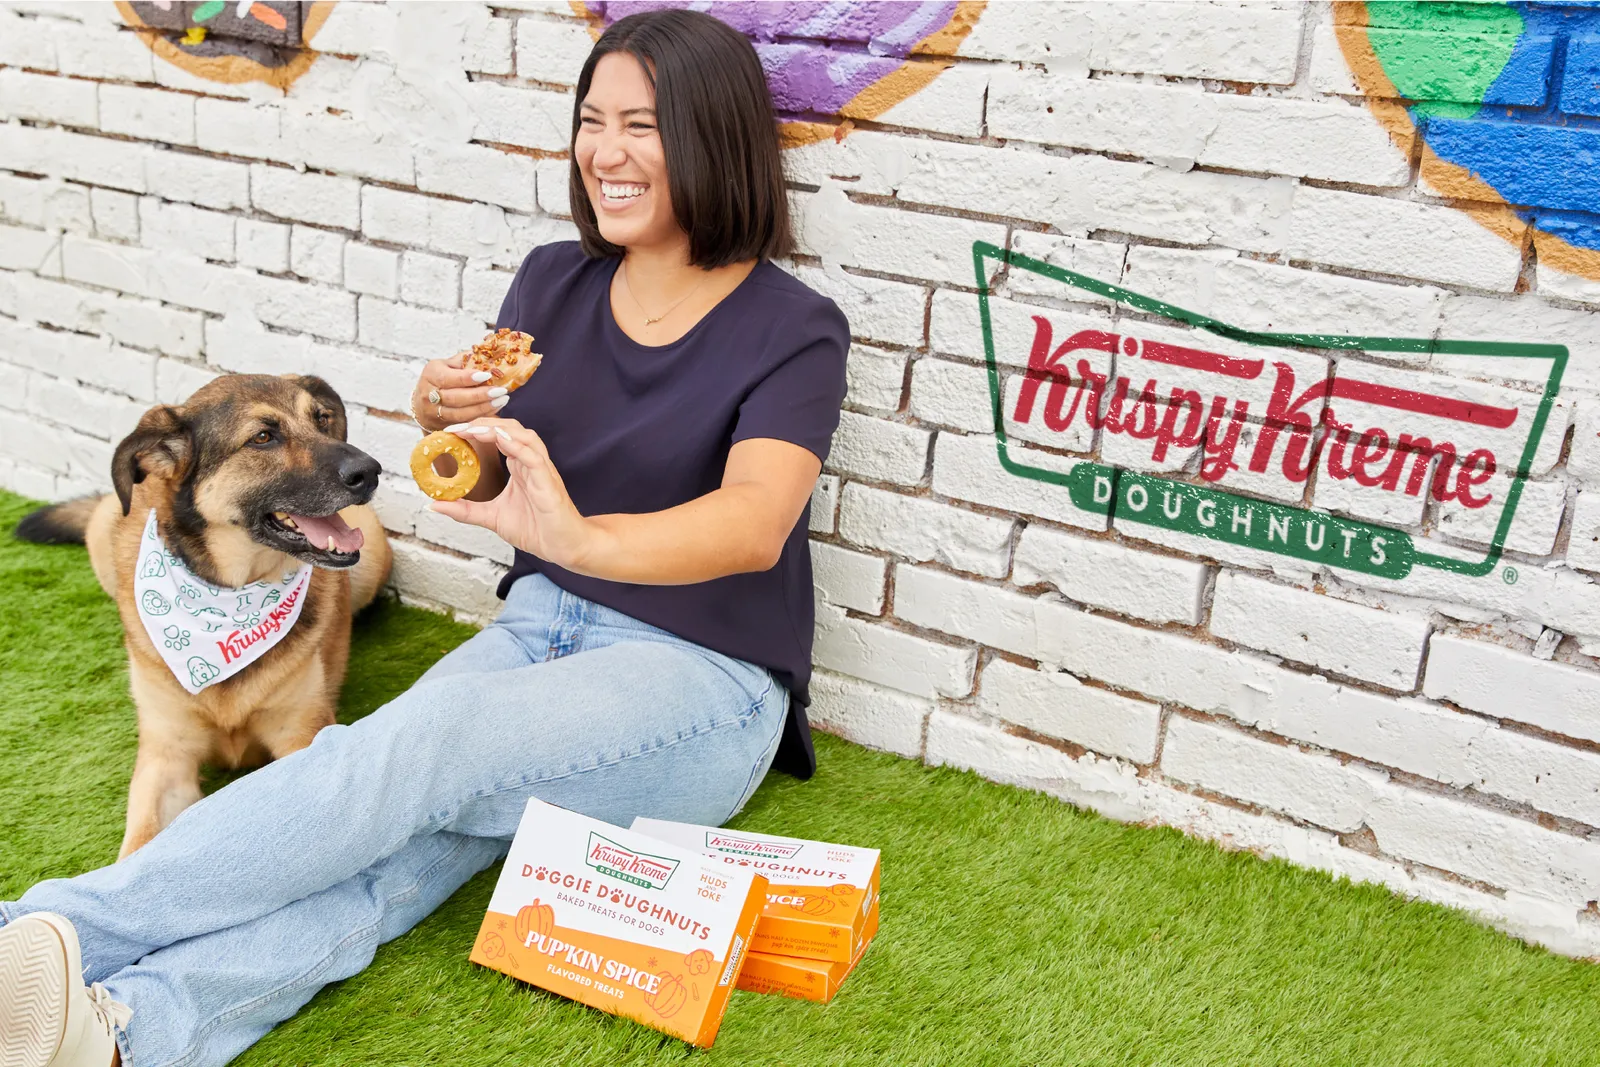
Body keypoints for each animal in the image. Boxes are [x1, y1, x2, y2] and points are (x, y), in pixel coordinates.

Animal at [16, 375, 393, 857]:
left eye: (322, 419)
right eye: (263, 437)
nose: (372, 470)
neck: (228, 597)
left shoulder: (303, 733)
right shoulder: (165, 758)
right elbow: (138, 846)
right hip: (102, 530)